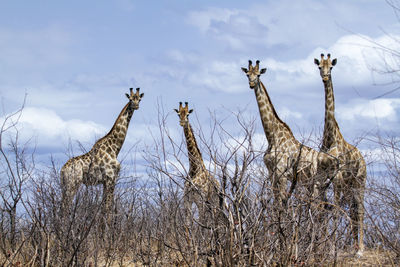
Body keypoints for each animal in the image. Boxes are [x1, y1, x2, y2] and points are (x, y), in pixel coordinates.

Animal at [61, 89, 144, 217]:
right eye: (130, 99)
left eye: (139, 99)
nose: (136, 106)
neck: (114, 148)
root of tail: (62, 170)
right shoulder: (111, 179)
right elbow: (108, 209)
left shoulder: (106, 182)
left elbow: (104, 208)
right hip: (73, 183)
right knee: (65, 207)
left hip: (65, 186)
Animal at [241, 60, 332, 207]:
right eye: (248, 74)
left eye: (259, 75)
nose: (252, 85)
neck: (272, 137)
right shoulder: (271, 172)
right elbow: (277, 200)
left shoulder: (282, 172)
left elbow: (282, 201)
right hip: (310, 182)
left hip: (316, 180)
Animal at [314, 52, 368, 255]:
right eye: (319, 66)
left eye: (331, 67)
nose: (325, 77)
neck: (330, 137)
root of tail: (362, 158)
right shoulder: (321, 176)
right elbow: (322, 209)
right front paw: (321, 248)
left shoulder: (336, 177)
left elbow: (336, 210)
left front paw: (332, 250)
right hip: (349, 185)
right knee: (352, 210)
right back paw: (354, 246)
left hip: (360, 181)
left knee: (359, 210)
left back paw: (360, 249)